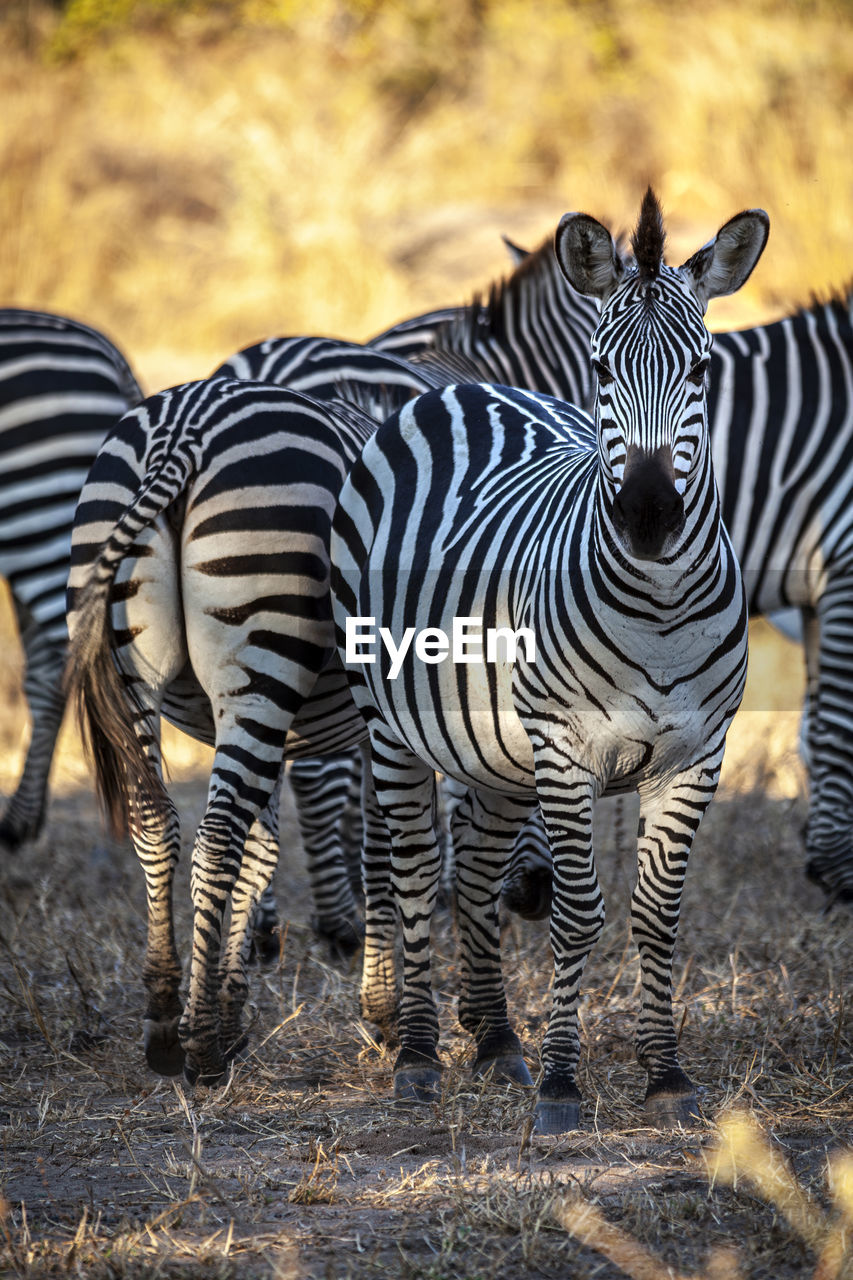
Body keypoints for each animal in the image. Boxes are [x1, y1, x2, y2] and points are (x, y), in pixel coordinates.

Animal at [327, 189, 768, 1131]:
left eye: (701, 373)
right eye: (599, 371)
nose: (648, 516)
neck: (659, 611)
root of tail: (460, 386)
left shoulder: (698, 753)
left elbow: (654, 916)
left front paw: (664, 1075)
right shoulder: (566, 749)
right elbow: (575, 914)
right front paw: (565, 1085)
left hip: (492, 746)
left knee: (477, 867)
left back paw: (497, 1043)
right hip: (391, 724)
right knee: (415, 872)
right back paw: (417, 1057)